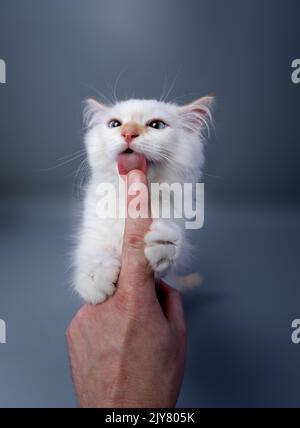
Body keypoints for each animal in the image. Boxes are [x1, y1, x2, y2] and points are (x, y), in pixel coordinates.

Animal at [72, 97, 213, 304]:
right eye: (114, 124)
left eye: (157, 125)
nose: (128, 133)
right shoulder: (94, 226)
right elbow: (93, 251)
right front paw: (95, 279)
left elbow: (175, 247)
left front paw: (163, 244)